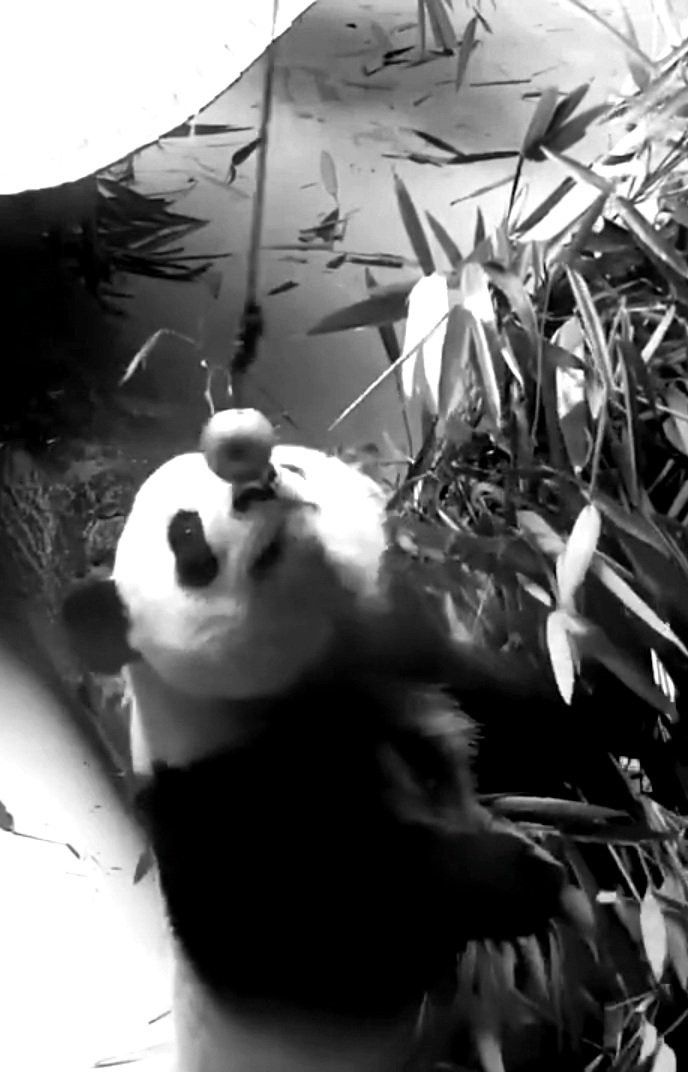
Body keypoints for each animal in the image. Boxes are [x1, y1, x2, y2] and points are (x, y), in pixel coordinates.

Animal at [61, 409, 572, 1072]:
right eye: (185, 531)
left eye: (288, 461)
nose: (257, 484)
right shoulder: (217, 805)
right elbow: (331, 937)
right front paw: (521, 877)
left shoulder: (419, 672)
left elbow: (532, 728)